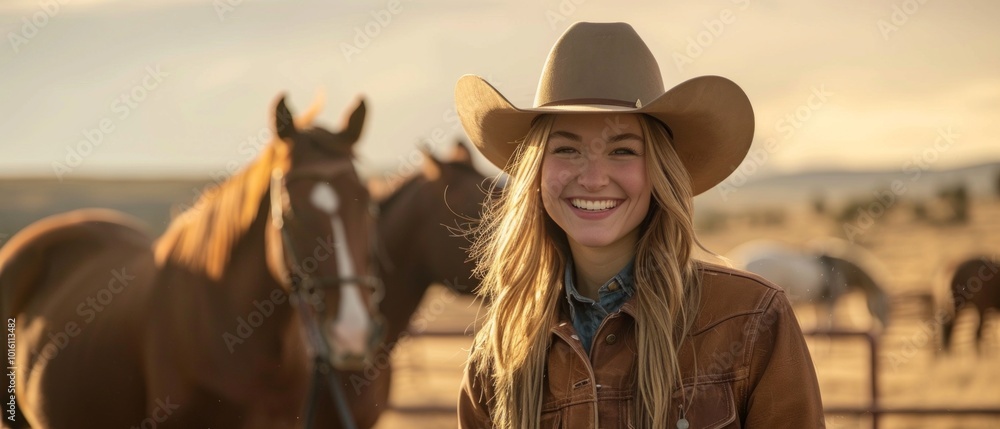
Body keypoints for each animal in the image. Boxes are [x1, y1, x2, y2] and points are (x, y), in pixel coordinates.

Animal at [728, 239, 892, 330]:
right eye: (884, 305)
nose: (885, 327)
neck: (838, 268)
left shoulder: (817, 303)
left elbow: (819, 324)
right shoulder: (830, 301)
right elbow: (830, 324)